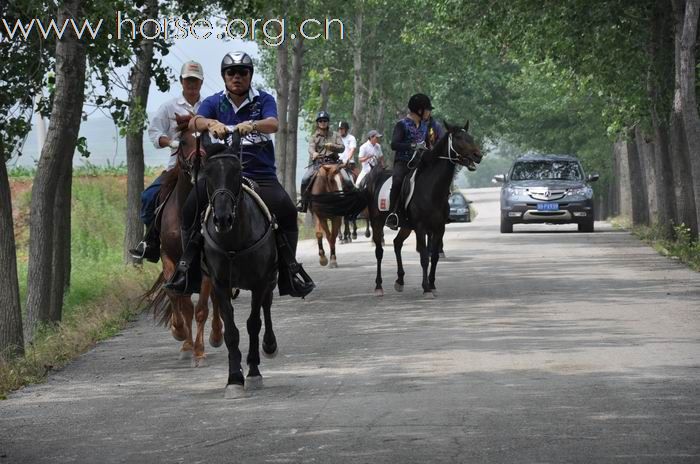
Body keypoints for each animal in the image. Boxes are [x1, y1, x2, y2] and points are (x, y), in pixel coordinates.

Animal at [364, 120, 478, 298]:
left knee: (397, 244)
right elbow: (424, 256)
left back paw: (400, 281)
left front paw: (432, 284)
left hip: (405, 226)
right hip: (377, 222)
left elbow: (434, 257)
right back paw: (378, 286)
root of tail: (375, 176)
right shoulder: (421, 227)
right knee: (379, 252)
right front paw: (426, 288)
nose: (478, 155)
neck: (431, 189)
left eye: (470, 136)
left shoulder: (439, 228)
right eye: (459, 138)